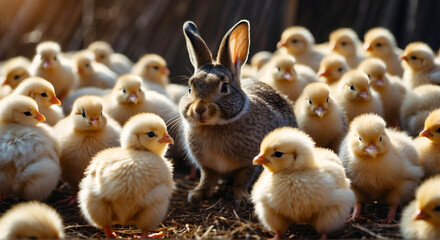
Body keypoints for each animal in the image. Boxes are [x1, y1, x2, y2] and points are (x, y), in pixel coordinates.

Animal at [180, 19, 298, 205]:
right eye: (190, 88)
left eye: (224, 87)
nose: (199, 110)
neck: (215, 126)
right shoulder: (207, 166)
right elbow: (207, 179)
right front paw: (196, 195)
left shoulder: (249, 163)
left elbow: (241, 180)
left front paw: (242, 199)